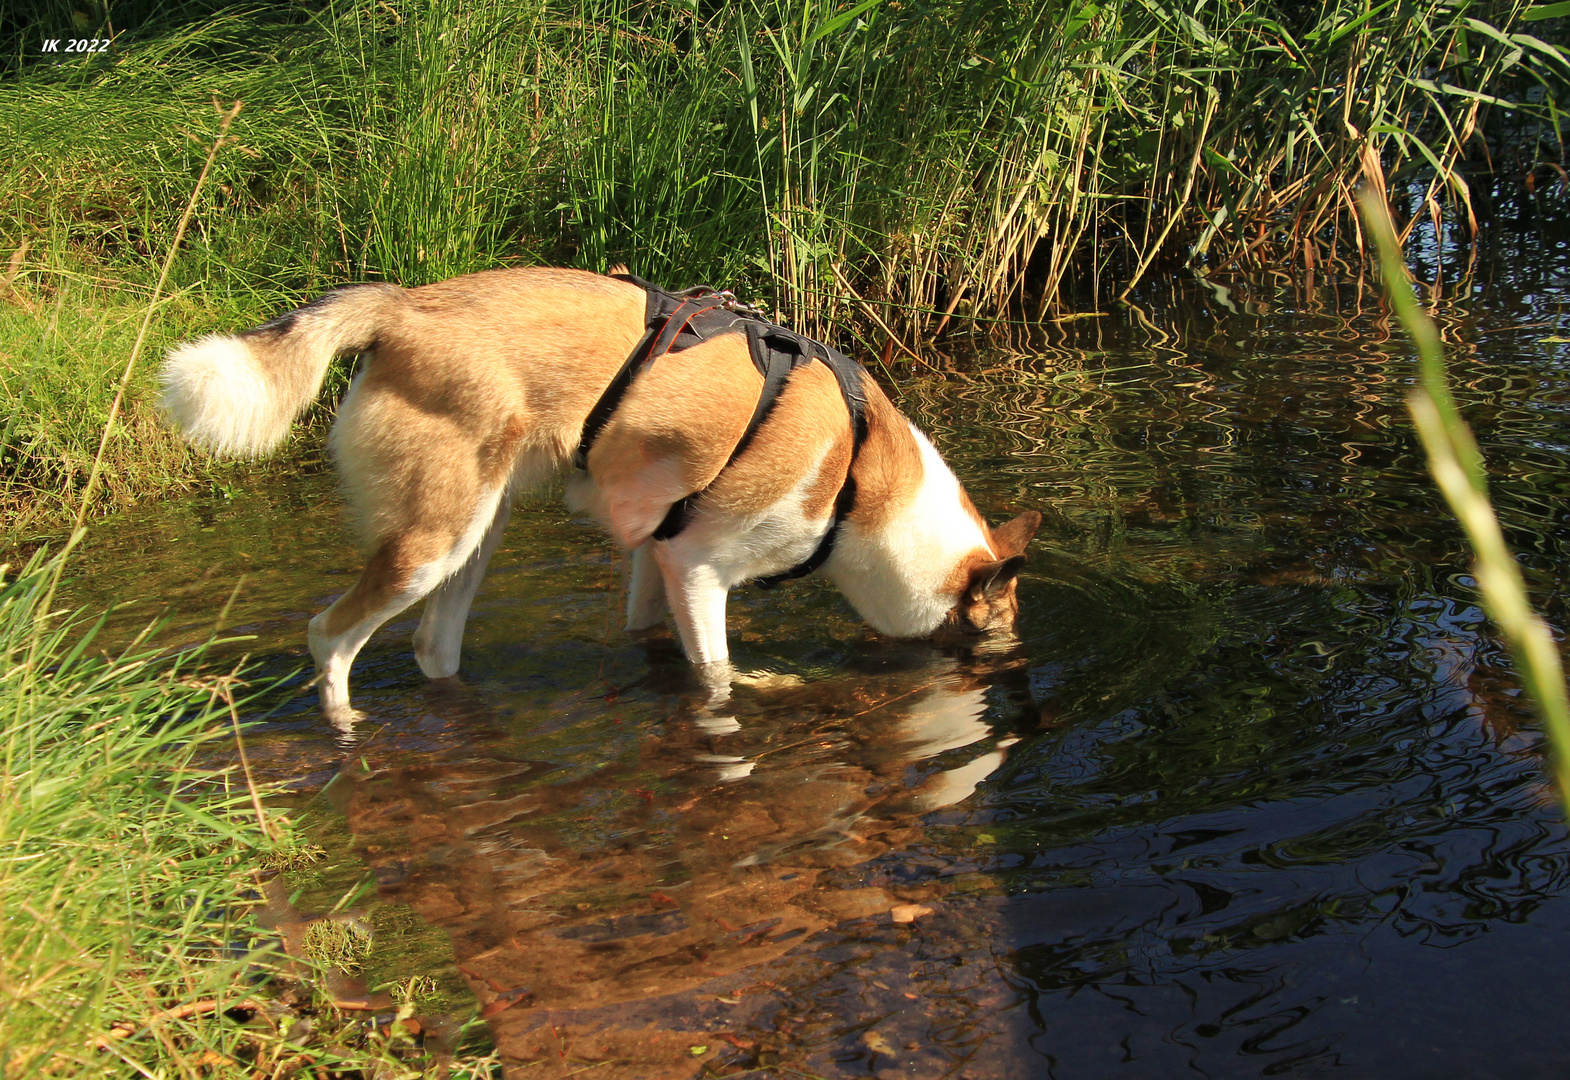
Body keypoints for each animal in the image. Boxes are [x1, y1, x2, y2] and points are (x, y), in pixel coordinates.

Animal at [162, 268, 1042, 715]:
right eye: (992, 632)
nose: (1014, 669)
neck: (859, 480)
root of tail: (402, 308)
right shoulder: (699, 569)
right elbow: (718, 674)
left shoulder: (657, 563)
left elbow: (654, 642)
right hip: (430, 545)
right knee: (329, 638)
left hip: (476, 539)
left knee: (431, 648)